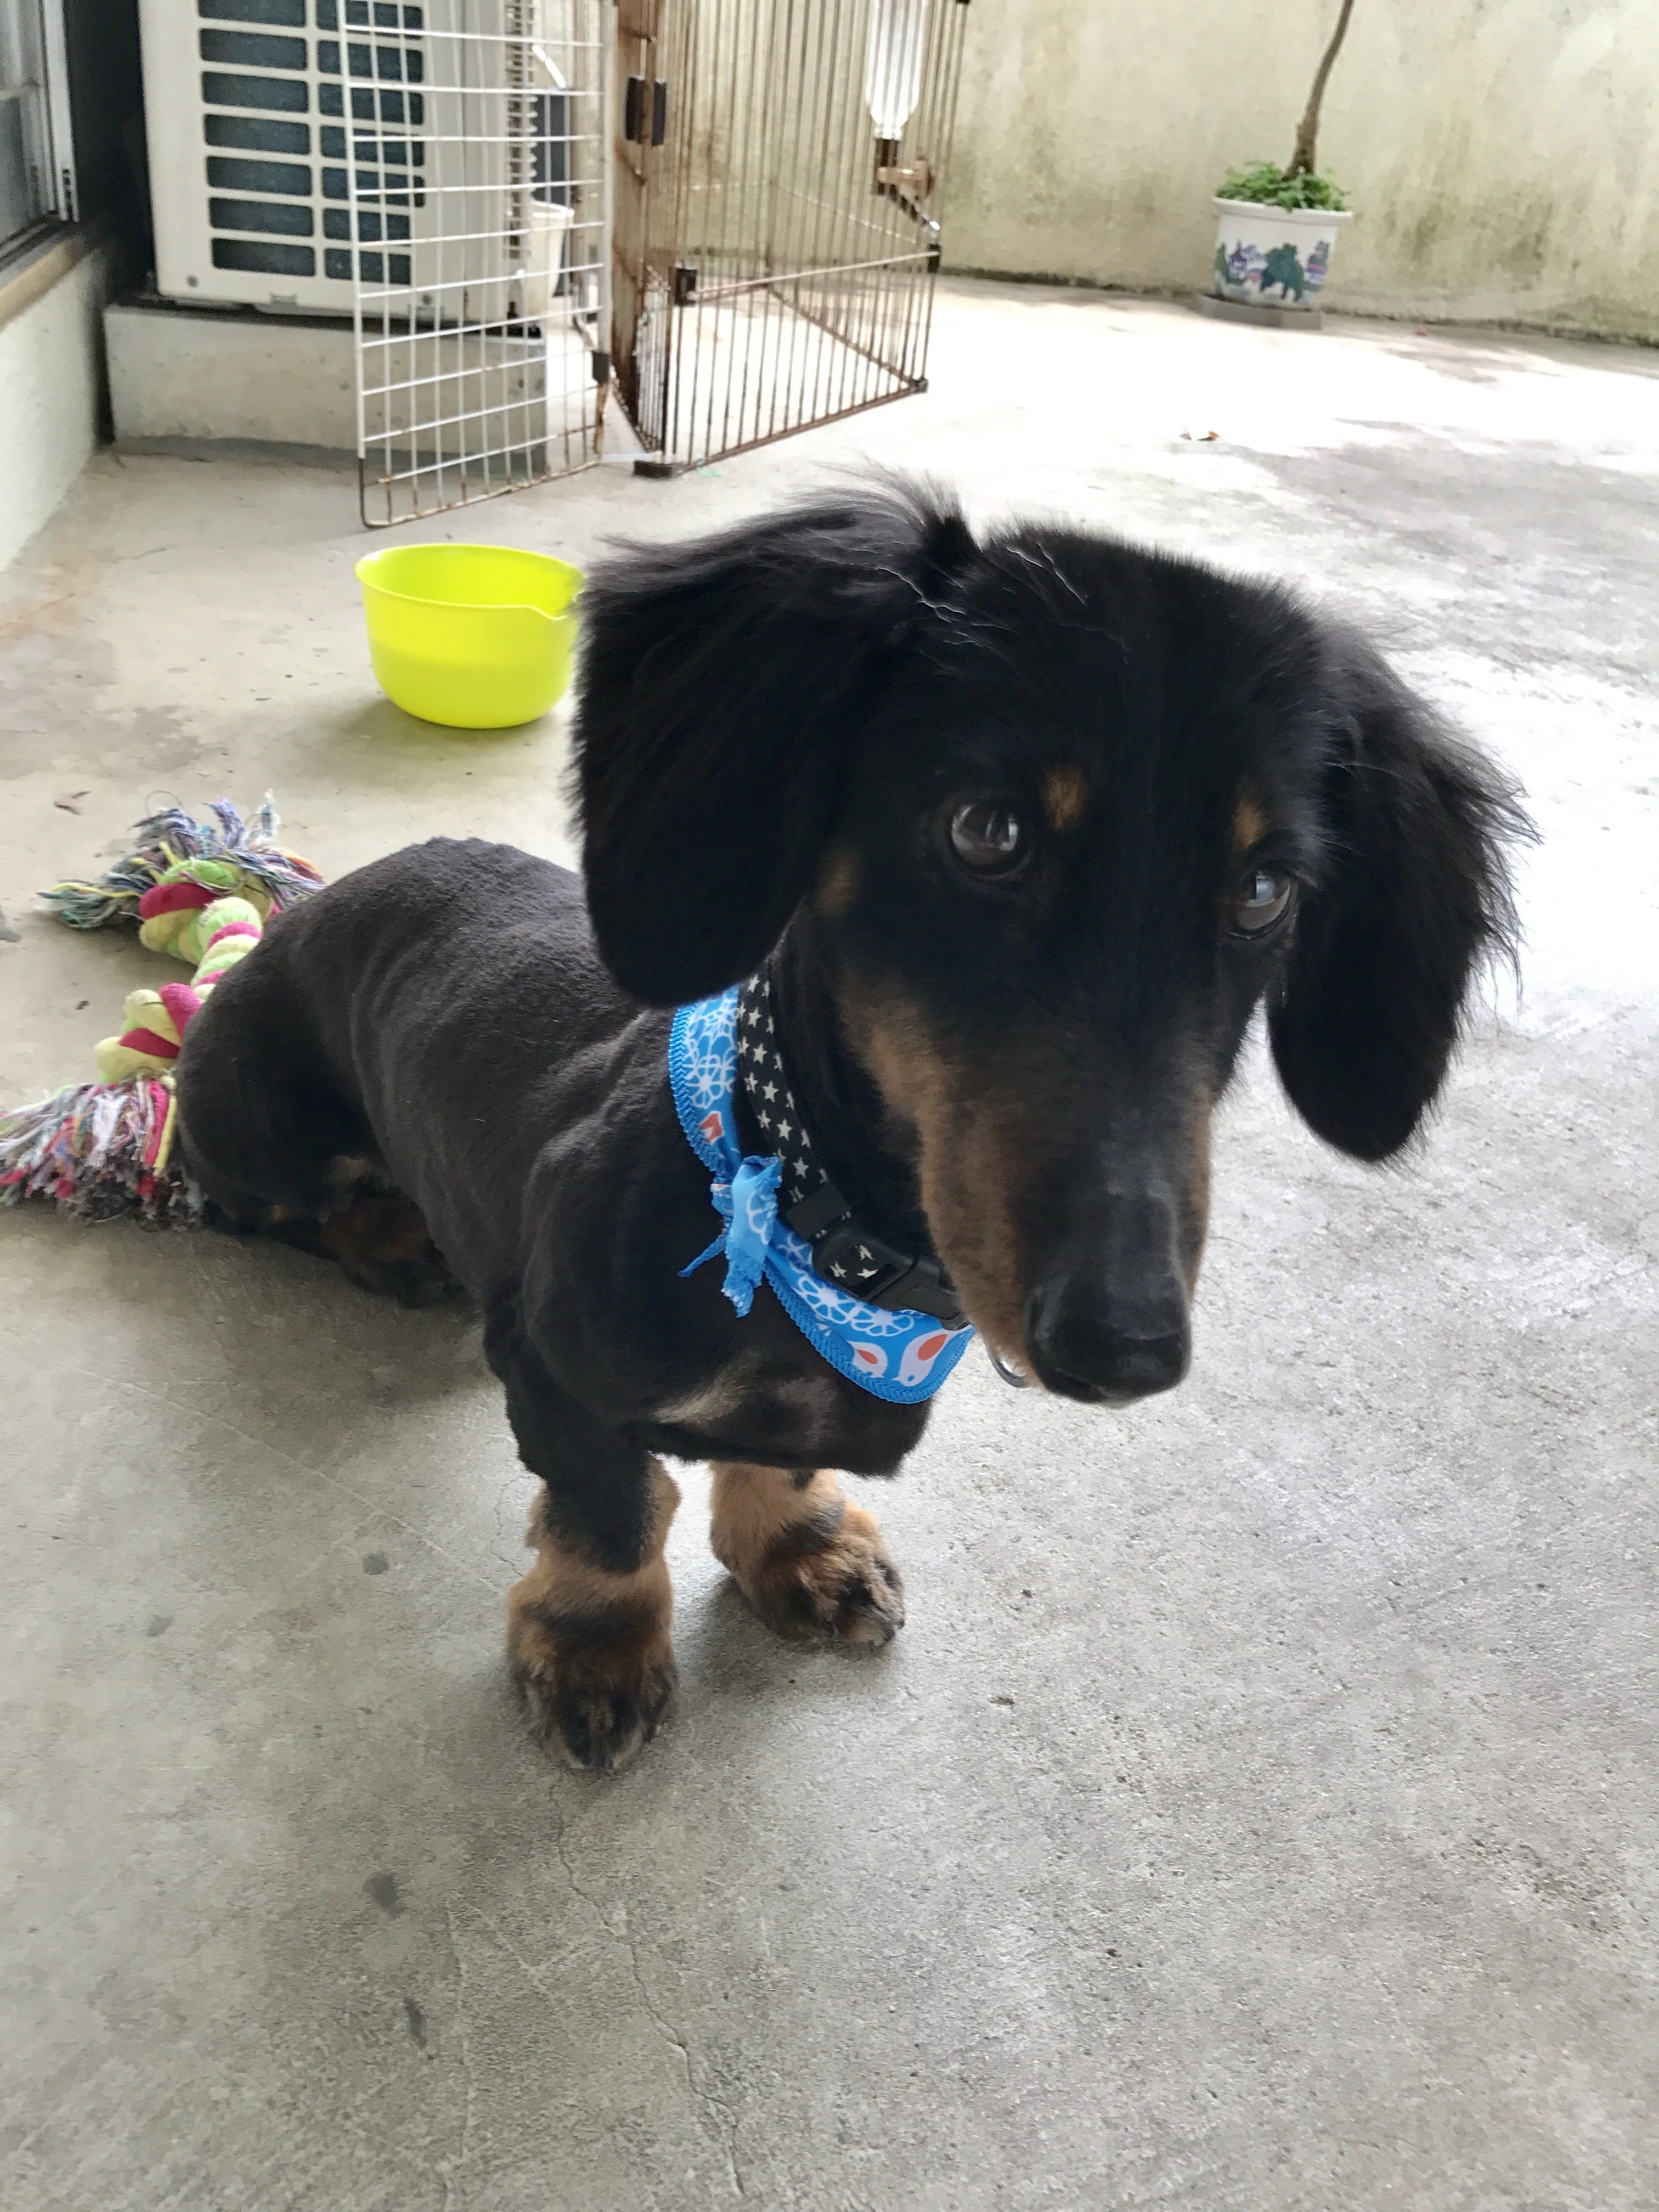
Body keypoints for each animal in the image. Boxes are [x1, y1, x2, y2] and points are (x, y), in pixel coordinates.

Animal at [174, 481, 1525, 1772]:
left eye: (1262, 890)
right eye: (987, 829)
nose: (1124, 1346)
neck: (811, 1230)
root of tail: (301, 907)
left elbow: (775, 1464)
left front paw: (801, 1545)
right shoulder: (553, 1369)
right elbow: (613, 1510)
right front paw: (596, 1647)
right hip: (248, 1122)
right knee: (266, 1206)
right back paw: (394, 1242)